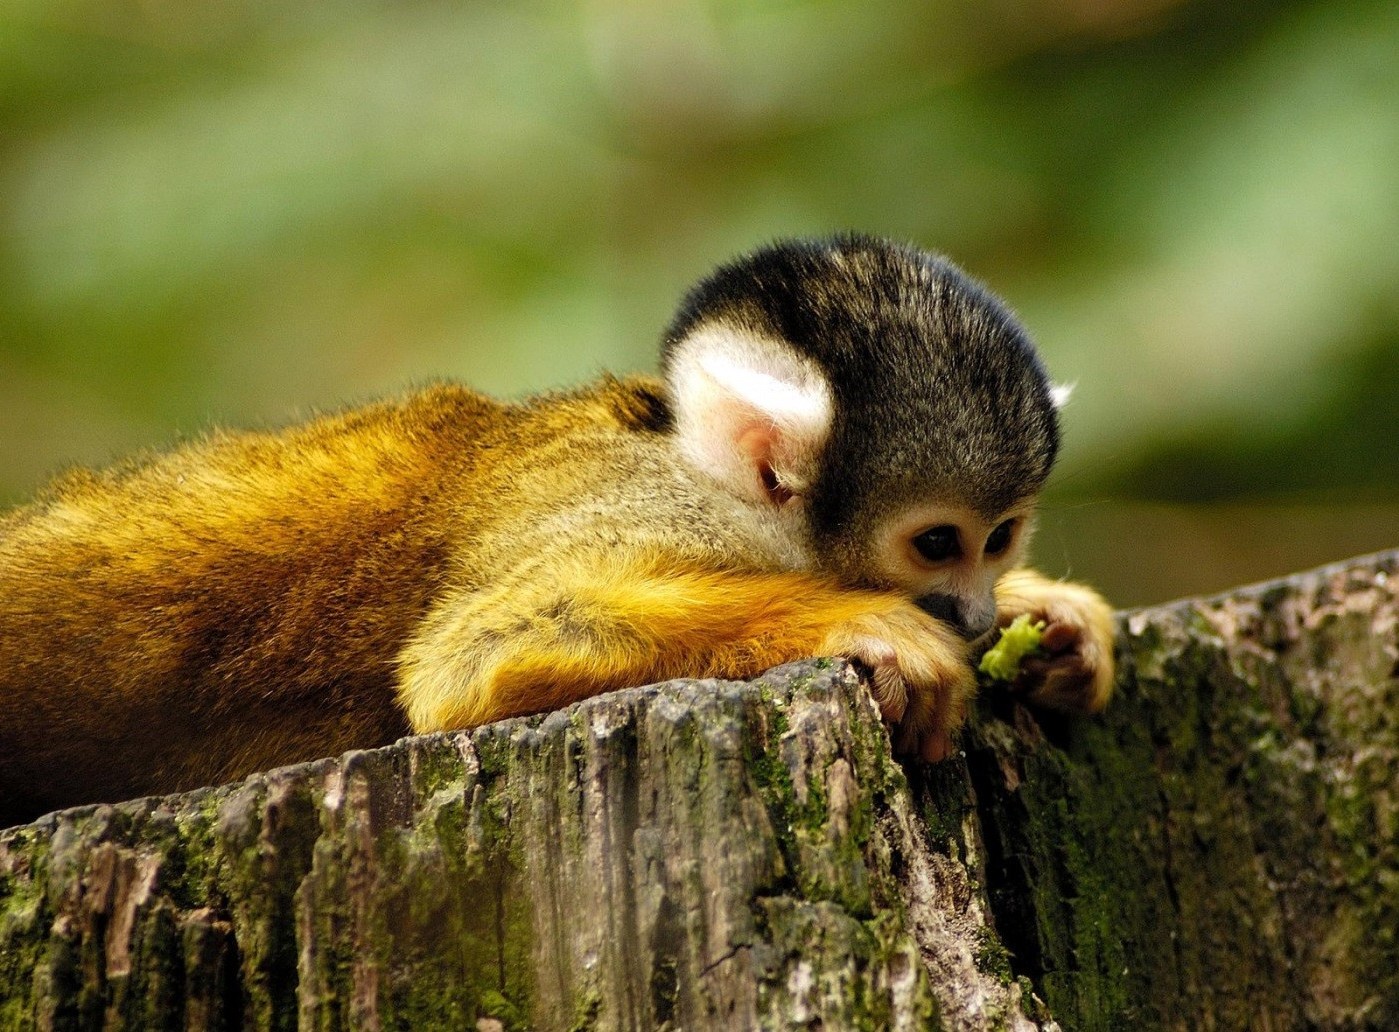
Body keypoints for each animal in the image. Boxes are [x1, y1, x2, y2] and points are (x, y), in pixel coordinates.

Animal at [0, 233, 1113, 822]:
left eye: (1000, 538)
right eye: (937, 543)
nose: (975, 613)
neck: (699, 474)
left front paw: (1053, 621)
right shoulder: (643, 512)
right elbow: (474, 660)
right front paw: (872, 628)